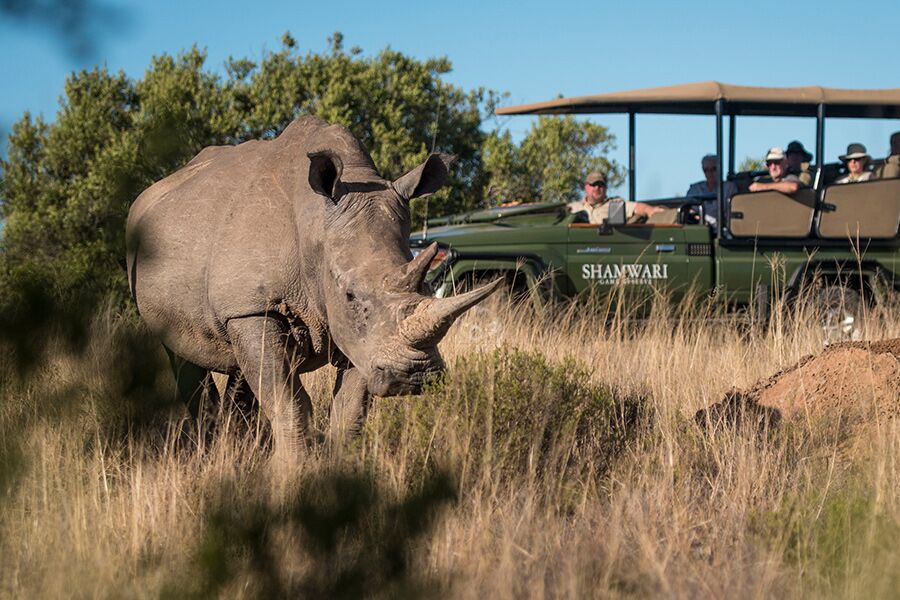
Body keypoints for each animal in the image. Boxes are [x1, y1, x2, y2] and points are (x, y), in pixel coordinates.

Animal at [126, 116, 499, 456]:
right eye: (350, 295)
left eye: (425, 288)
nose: (417, 377)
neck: (316, 225)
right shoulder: (253, 308)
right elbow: (288, 402)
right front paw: (291, 473)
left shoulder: (359, 334)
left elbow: (351, 410)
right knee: (185, 354)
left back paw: (235, 449)